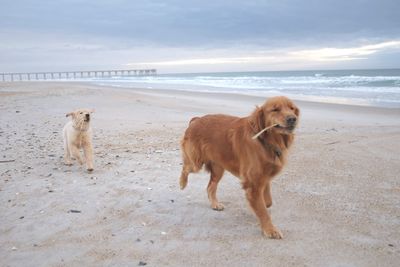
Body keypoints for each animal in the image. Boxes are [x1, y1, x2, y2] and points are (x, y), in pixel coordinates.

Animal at [180, 97, 298, 241]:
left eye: (292, 108)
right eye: (275, 109)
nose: (292, 119)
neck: (265, 141)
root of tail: (196, 119)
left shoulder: (263, 177)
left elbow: (267, 202)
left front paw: (261, 208)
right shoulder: (253, 184)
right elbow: (263, 210)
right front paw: (270, 229)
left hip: (218, 168)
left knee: (210, 187)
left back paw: (215, 204)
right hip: (196, 162)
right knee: (185, 168)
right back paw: (182, 183)